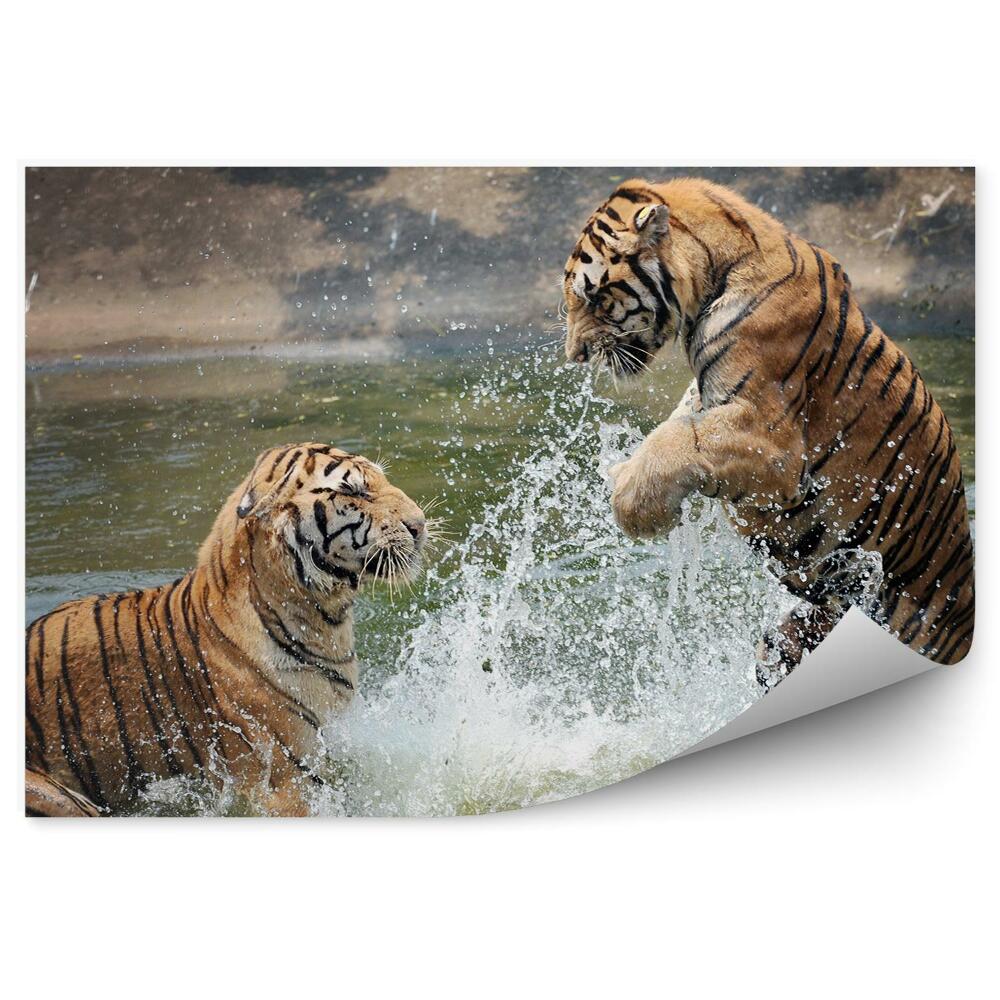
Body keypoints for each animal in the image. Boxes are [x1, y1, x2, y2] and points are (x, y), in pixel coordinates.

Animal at [562, 177, 974, 685]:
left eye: (595, 298)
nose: (574, 355)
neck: (714, 273)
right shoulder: (708, 398)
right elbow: (676, 424)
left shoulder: (776, 445)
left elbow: (681, 439)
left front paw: (635, 505)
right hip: (797, 634)